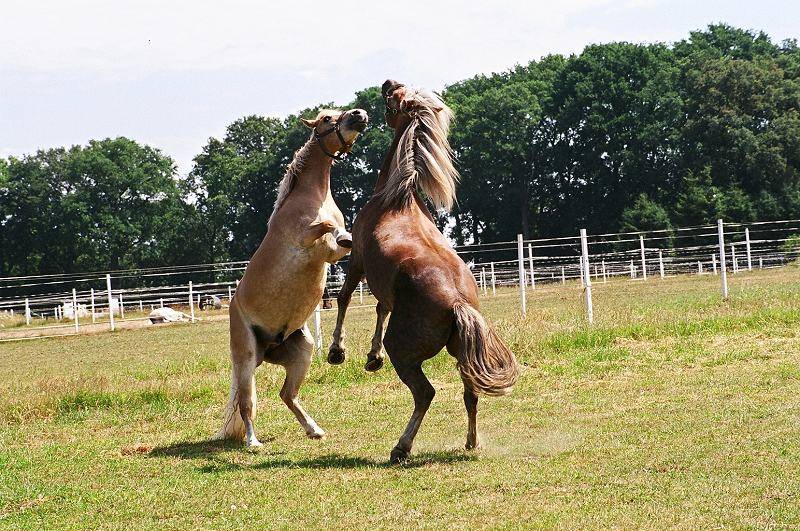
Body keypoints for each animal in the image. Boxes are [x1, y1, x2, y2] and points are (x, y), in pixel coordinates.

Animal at [217, 106, 370, 446]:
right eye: (326, 119)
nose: (359, 113)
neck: (315, 196)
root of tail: (266, 349)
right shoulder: (306, 239)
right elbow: (328, 227)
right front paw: (341, 232)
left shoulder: (331, 254)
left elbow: (343, 239)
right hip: (246, 356)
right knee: (246, 403)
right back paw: (252, 441)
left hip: (302, 351)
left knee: (287, 394)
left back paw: (314, 429)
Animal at [328, 81, 520, 464]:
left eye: (396, 98)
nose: (387, 83)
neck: (397, 199)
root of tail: (458, 303)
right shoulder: (385, 287)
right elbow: (380, 308)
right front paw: (372, 357)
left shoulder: (356, 260)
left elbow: (343, 298)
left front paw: (337, 351)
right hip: (461, 354)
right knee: (470, 393)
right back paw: (471, 442)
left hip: (406, 355)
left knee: (425, 394)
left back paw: (401, 447)